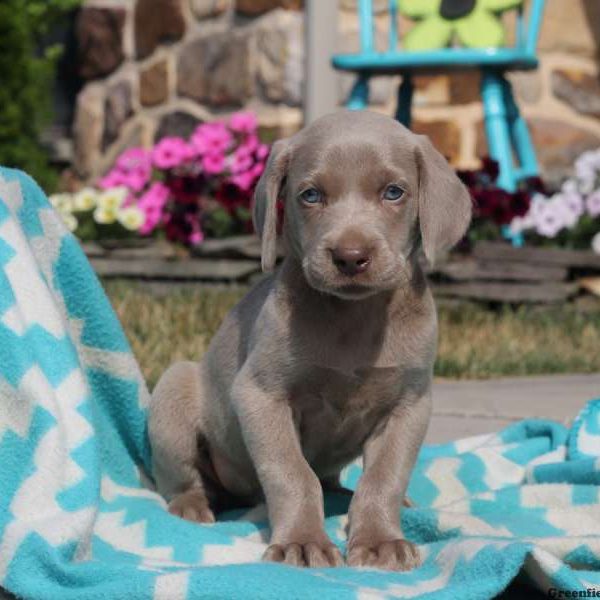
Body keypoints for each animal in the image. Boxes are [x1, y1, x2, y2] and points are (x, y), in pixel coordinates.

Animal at [148, 109, 472, 572]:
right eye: (311, 195)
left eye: (394, 192)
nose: (350, 258)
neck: (352, 317)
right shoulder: (261, 395)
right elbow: (292, 473)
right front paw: (301, 542)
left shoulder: (410, 404)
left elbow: (385, 477)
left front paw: (380, 540)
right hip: (175, 390)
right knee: (180, 478)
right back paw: (193, 506)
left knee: (337, 482)